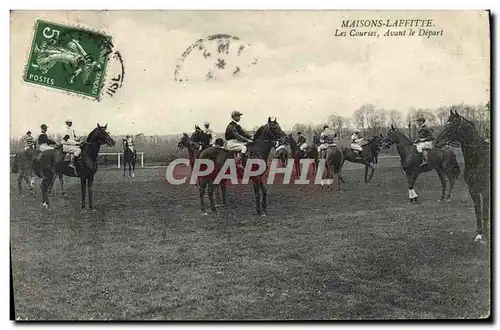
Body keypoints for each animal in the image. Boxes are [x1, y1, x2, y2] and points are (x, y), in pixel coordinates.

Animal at [436, 109, 490, 244]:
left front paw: (486, 237)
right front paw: (479, 235)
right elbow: (478, 212)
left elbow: (485, 213)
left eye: (452, 125)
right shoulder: (473, 190)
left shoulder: (485, 191)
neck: (479, 158)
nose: (437, 142)